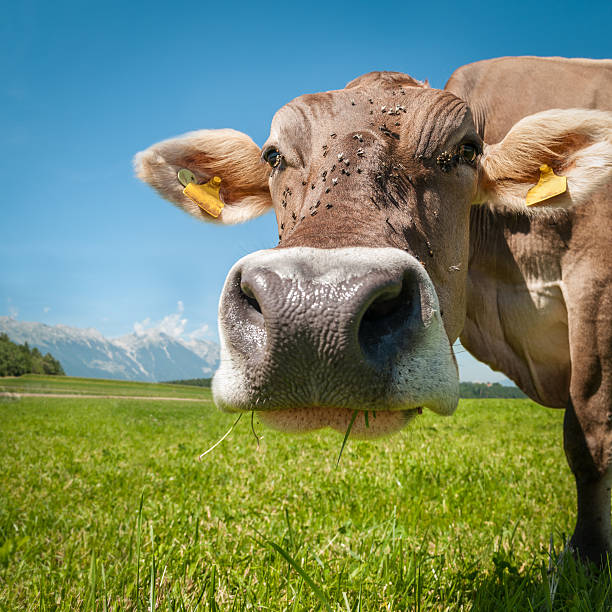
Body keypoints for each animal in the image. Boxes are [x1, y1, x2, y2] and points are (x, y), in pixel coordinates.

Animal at [135, 57, 612, 564]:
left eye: (466, 150)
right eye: (273, 156)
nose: (314, 315)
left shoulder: (596, 286)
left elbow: (588, 436)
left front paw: (586, 555)